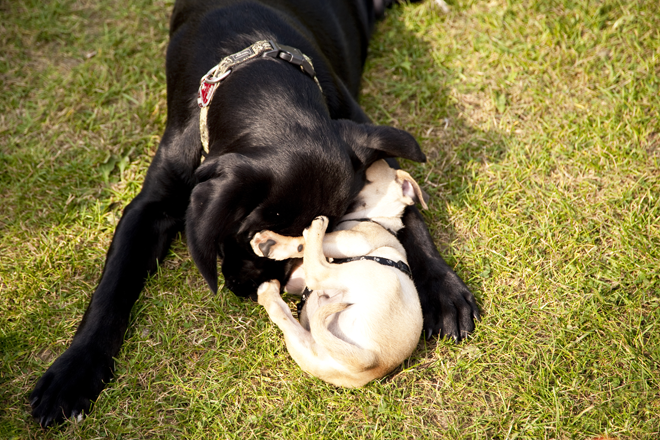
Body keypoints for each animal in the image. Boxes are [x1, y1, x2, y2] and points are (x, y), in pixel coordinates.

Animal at [250, 161, 426, 384]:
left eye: (365, 177)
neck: (378, 221)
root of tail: (370, 360)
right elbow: (302, 252)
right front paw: (274, 245)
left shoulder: (356, 239)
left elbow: (306, 243)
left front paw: (276, 243)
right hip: (311, 351)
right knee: (282, 314)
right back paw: (268, 291)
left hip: (369, 274)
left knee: (318, 273)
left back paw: (316, 228)